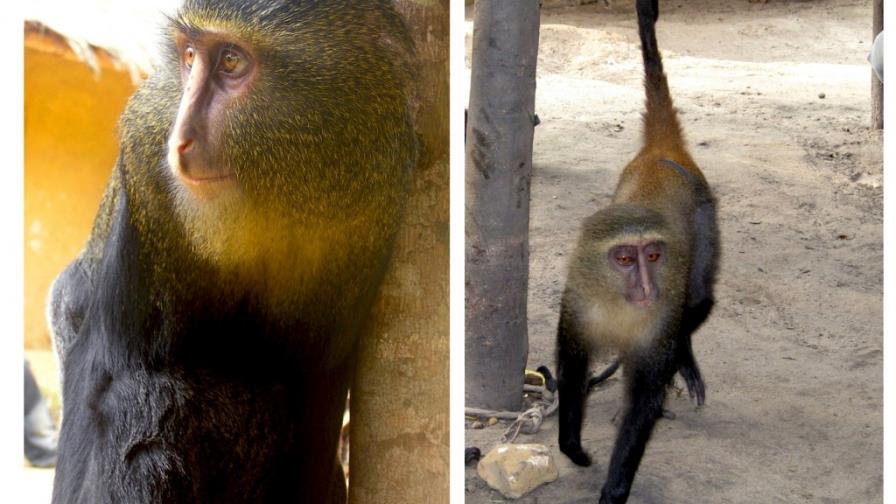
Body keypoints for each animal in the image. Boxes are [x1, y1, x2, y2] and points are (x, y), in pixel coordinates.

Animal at [47, 1, 416, 502]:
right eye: (189, 57)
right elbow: (103, 376)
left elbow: (317, 389)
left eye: (232, 62)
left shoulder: (375, 206)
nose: (179, 141)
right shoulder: (144, 171)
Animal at [555, 0, 718, 502]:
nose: (647, 287)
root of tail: (661, 153)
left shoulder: (658, 321)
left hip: (705, 215)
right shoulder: (576, 303)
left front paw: (614, 489)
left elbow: (643, 402)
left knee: (699, 298)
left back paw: (684, 357)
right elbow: (572, 368)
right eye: (625, 258)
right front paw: (572, 447)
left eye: (654, 256)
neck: (619, 305)